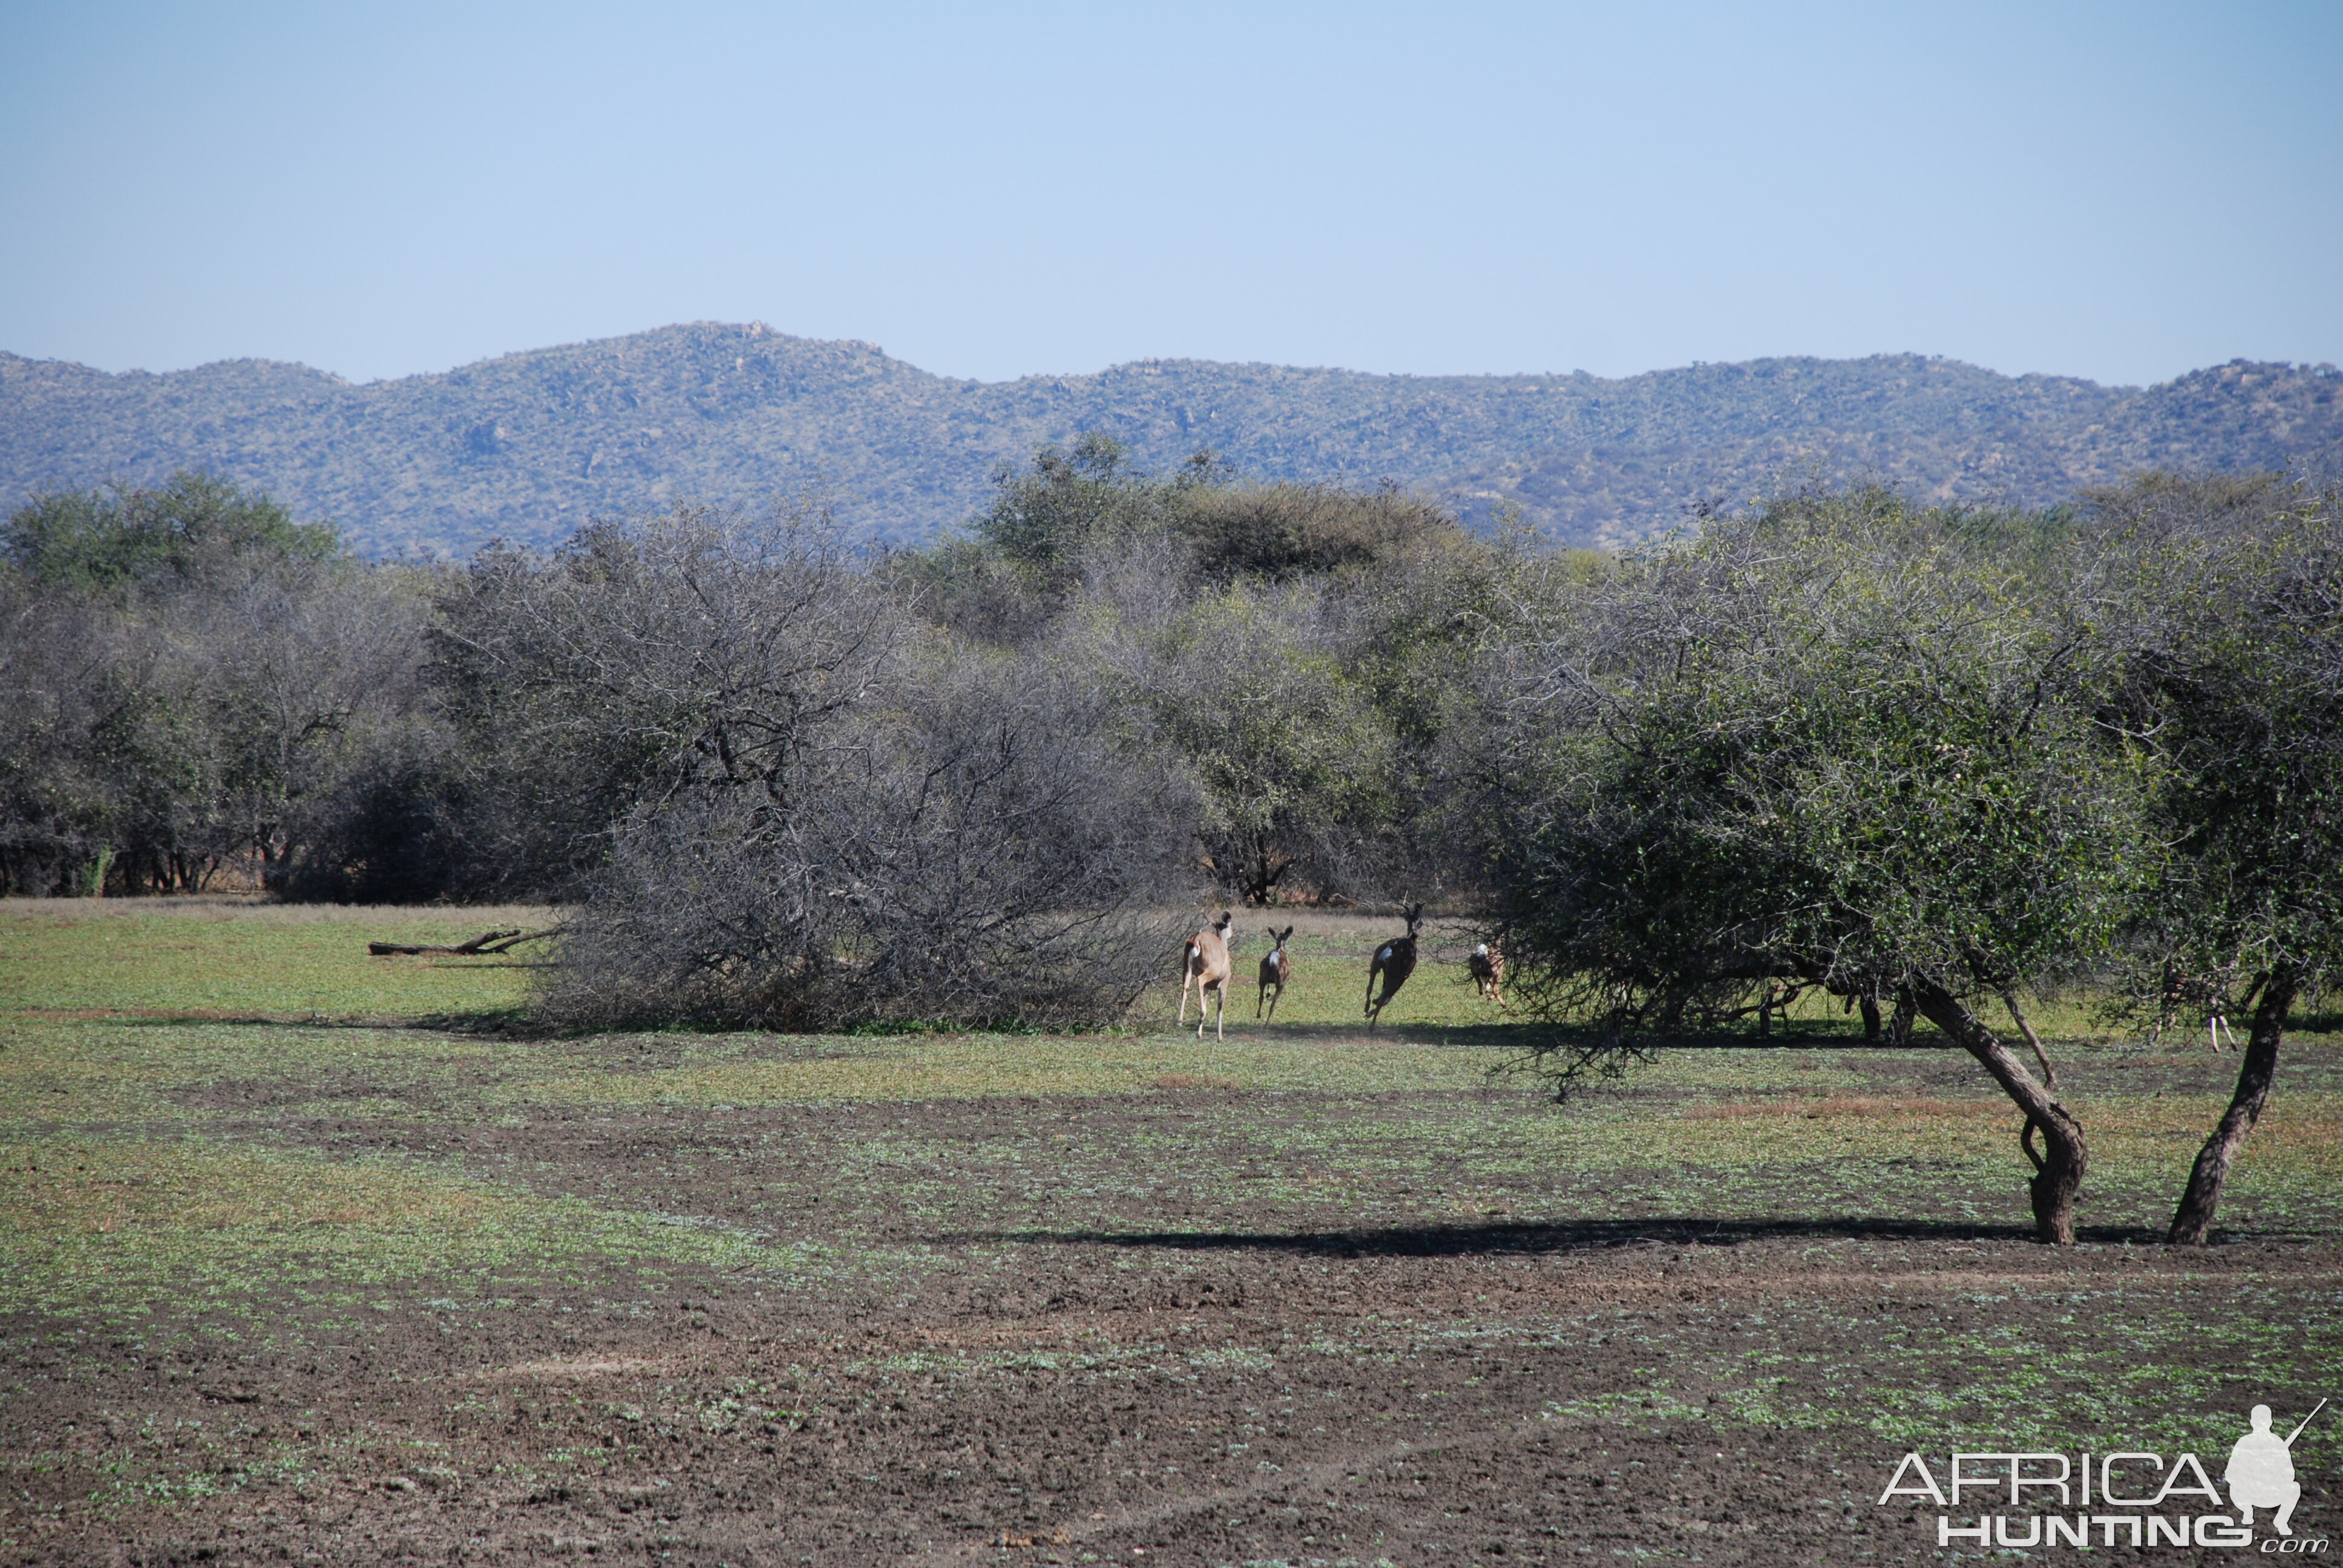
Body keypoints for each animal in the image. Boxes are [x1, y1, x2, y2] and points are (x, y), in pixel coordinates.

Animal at [1181, 904, 1237, 1040]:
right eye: (1230, 924)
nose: (1233, 931)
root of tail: (1196, 940)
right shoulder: (1224, 983)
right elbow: (1220, 1010)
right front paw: (1220, 1038)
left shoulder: (1208, 987)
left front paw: (1199, 1034)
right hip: (1211, 970)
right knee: (1199, 980)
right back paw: (1201, 1015)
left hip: (1187, 967)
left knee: (1185, 987)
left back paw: (1180, 1021)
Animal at [1256, 923, 1293, 1022]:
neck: (1280, 948)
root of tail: (1273, 962)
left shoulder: (1268, 980)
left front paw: (1268, 994)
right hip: (1281, 983)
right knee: (1273, 1005)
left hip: (1262, 977)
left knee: (1261, 998)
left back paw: (1259, 1015)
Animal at [1368, 904, 1415, 1027]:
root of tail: (1391, 949)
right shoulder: (1402, 978)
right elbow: (1386, 998)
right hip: (1393, 977)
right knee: (1383, 998)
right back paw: (1371, 1025)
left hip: (1375, 966)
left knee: (1370, 988)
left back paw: (1367, 1008)